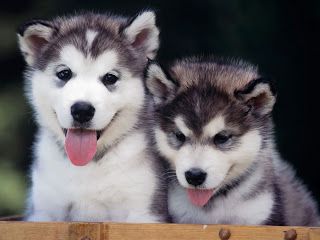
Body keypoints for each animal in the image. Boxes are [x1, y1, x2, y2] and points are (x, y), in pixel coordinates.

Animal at [17, 10, 170, 222]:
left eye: (110, 78)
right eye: (64, 73)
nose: (82, 110)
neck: (87, 165)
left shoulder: (144, 211)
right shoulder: (43, 211)